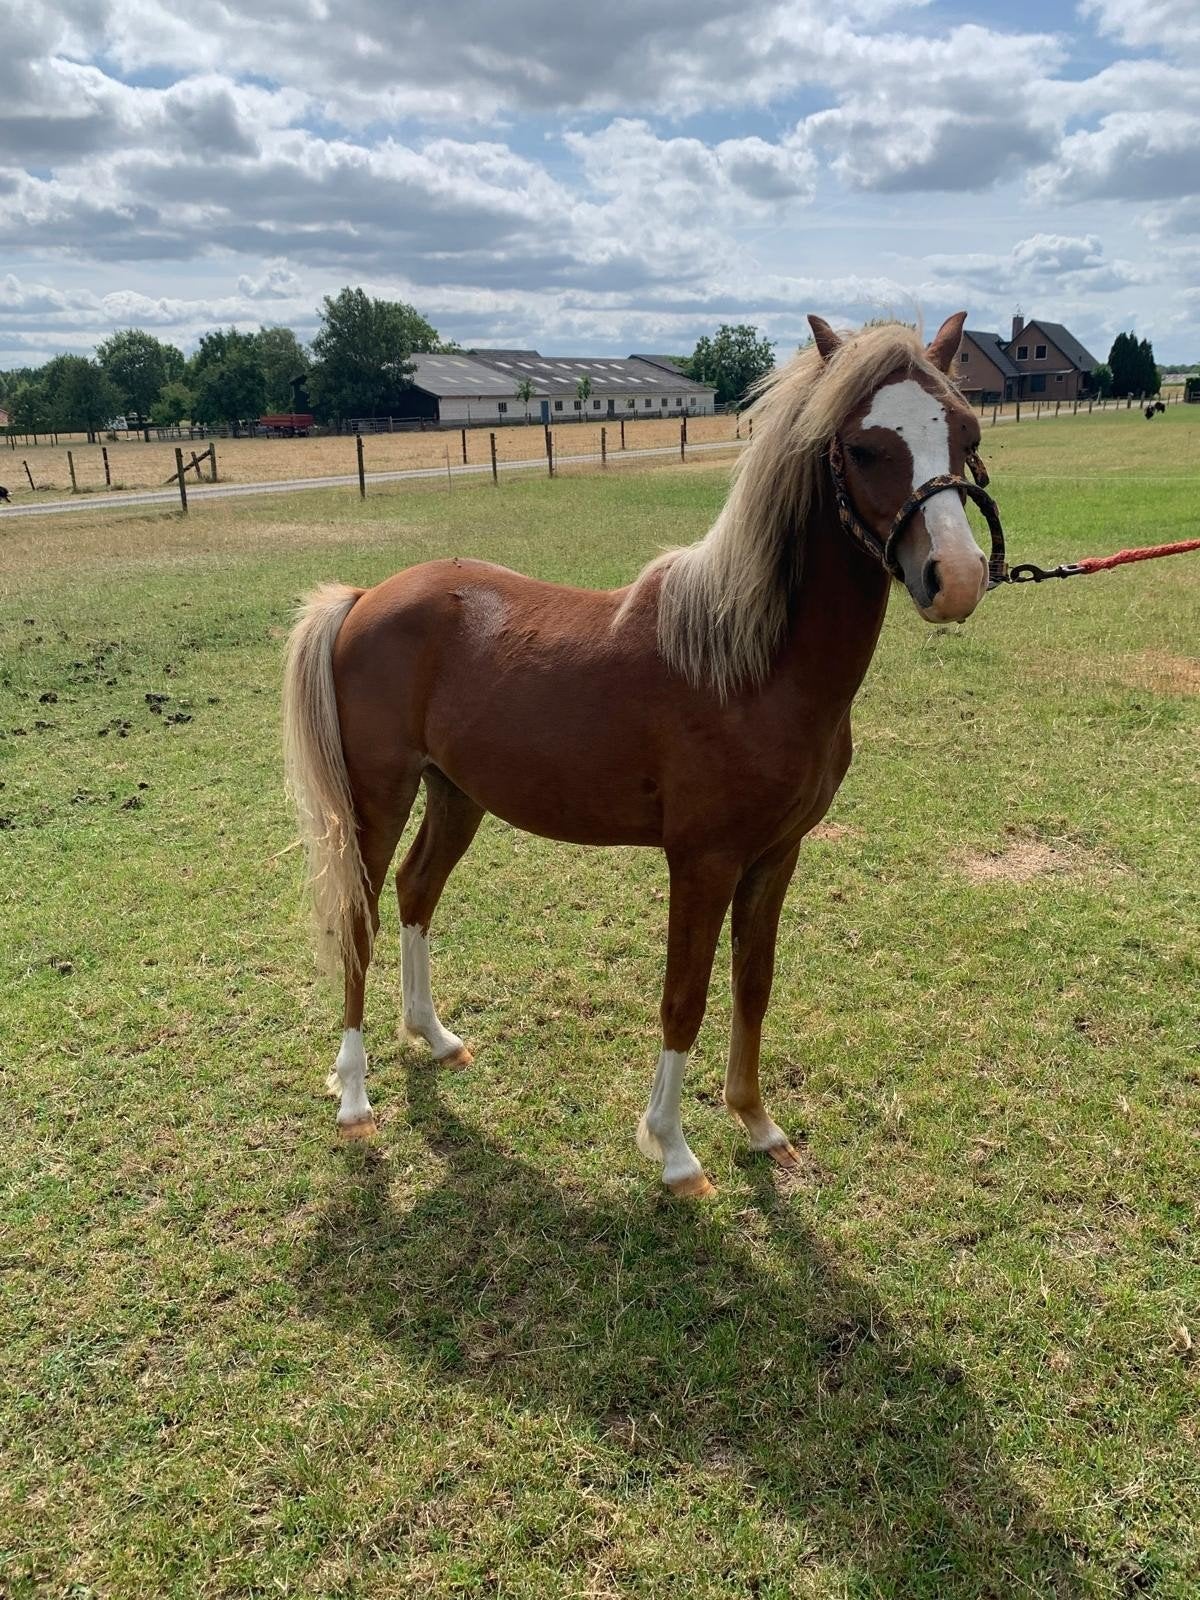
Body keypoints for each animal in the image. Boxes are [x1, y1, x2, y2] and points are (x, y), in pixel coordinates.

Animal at [283, 312, 996, 1196]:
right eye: (864, 448)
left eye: (966, 432)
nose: (956, 577)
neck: (753, 663)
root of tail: (361, 601)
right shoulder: (704, 859)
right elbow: (683, 998)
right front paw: (675, 1151)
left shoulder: (777, 855)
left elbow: (752, 985)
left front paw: (757, 1124)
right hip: (378, 798)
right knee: (361, 916)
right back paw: (353, 1096)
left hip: (456, 792)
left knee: (418, 893)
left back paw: (435, 1036)